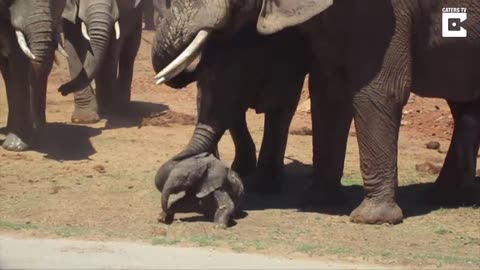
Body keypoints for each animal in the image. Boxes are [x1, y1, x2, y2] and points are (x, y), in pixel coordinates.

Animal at [152, 0, 480, 225]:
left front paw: (371, 219)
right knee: (464, 106)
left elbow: (377, 90)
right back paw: (446, 197)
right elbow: (329, 92)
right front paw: (321, 200)